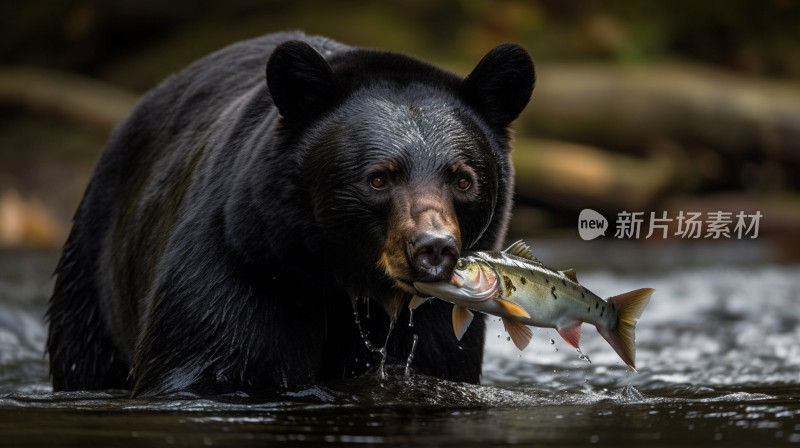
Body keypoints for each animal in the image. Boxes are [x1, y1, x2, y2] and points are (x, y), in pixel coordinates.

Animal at [43, 31, 536, 396]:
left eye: (463, 180)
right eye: (378, 178)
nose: (433, 249)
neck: (341, 280)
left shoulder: (437, 323)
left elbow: (442, 363)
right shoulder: (241, 264)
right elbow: (203, 362)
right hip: (93, 268)